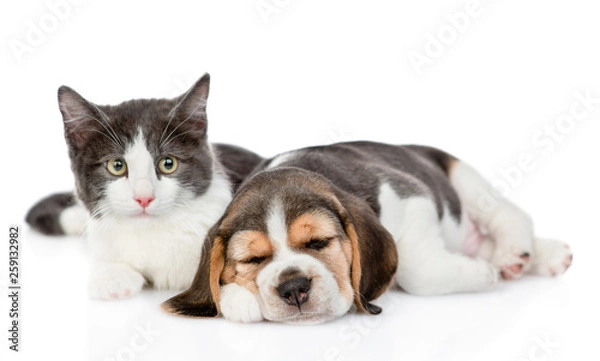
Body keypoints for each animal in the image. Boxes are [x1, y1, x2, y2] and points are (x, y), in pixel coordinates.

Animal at [162, 141, 576, 324]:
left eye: (318, 242)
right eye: (253, 258)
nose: (294, 288)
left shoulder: (412, 195)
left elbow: (415, 271)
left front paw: (480, 273)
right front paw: (240, 298)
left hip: (462, 178)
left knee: (509, 215)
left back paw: (515, 253)